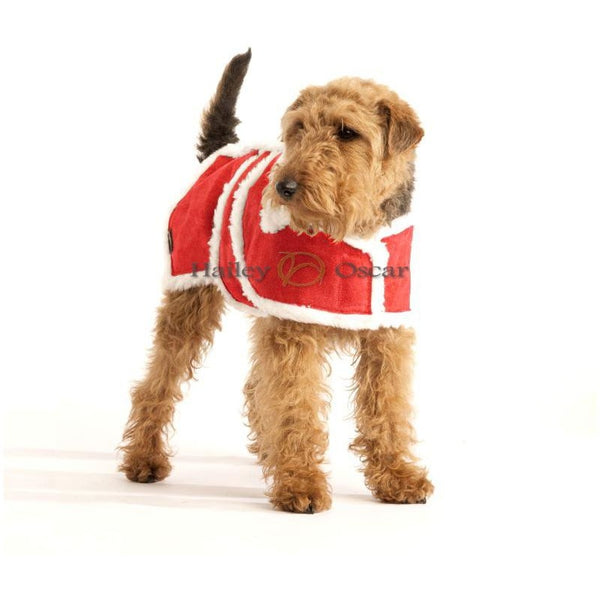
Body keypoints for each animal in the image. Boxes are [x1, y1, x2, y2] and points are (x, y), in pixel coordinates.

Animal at [119, 49, 433, 513]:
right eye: (298, 127)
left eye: (347, 132)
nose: (285, 187)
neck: (356, 231)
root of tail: (220, 151)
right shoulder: (294, 328)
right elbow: (294, 405)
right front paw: (300, 484)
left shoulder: (386, 332)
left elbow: (387, 409)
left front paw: (398, 478)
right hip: (189, 294)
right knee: (157, 382)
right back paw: (144, 458)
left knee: (253, 387)